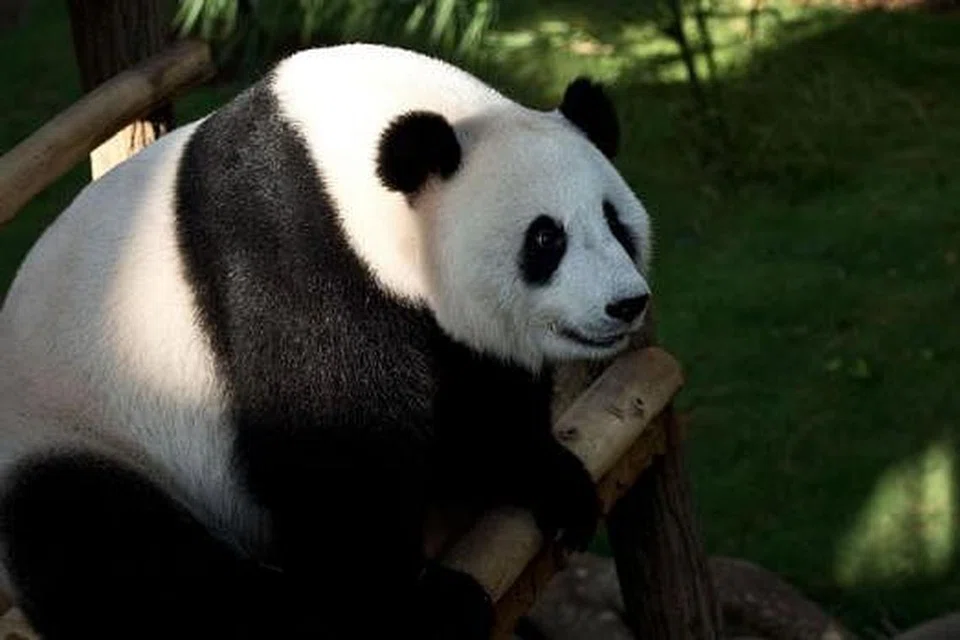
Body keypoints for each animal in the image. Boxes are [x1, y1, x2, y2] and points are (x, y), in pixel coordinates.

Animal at [0, 43, 652, 639]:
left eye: (615, 222)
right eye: (545, 239)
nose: (626, 303)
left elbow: (479, 390)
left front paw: (553, 482)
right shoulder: (290, 246)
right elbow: (331, 443)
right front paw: (412, 604)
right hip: (76, 428)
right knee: (108, 545)